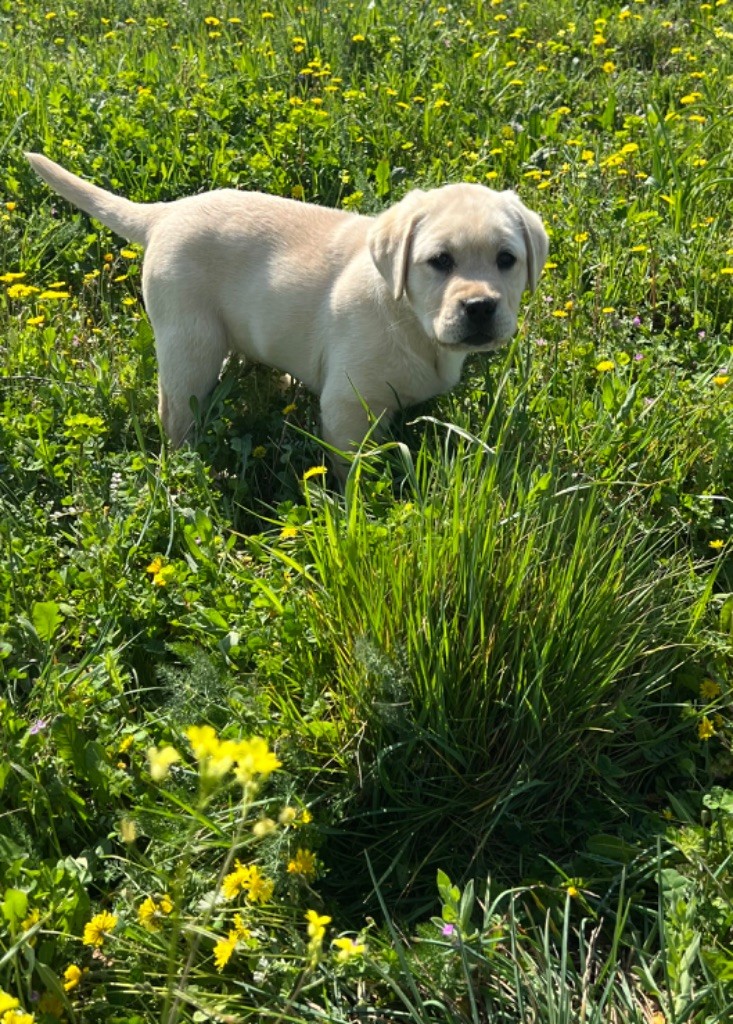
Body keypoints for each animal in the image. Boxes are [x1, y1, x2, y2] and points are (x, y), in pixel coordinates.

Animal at [25, 152, 548, 479]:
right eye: (440, 261)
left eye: (507, 259)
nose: (480, 307)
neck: (409, 318)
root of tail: (165, 214)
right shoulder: (348, 405)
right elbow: (355, 466)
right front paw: (362, 505)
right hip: (188, 344)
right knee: (178, 413)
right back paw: (187, 467)